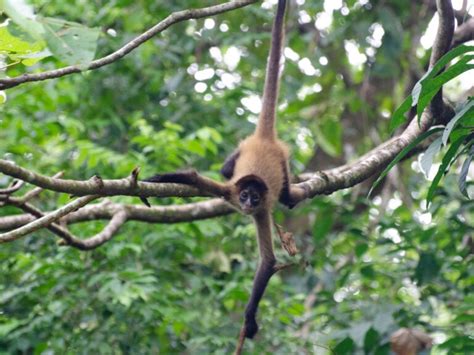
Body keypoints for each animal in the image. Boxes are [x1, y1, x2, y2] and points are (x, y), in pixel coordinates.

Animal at [140, 0, 308, 342]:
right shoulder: (229, 190)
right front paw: (155, 180)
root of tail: (265, 139)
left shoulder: (260, 209)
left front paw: (249, 317)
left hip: (280, 159)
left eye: (254, 198)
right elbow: (193, 177)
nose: (246, 204)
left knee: (277, 186)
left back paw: (288, 194)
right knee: (226, 168)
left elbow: (268, 261)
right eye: (244, 196)